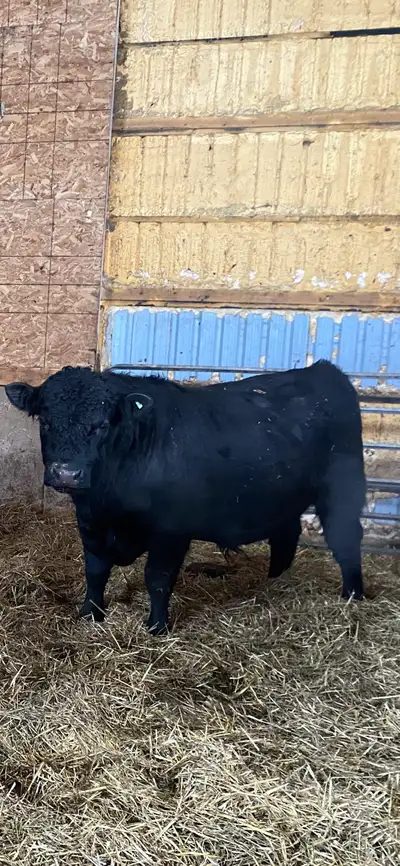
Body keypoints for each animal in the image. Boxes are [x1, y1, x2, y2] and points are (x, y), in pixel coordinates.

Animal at [5, 360, 366, 635]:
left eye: (102, 425)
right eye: (46, 421)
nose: (67, 473)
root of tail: (321, 369)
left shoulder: (171, 531)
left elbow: (158, 578)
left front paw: (157, 626)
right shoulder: (90, 522)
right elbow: (95, 571)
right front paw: (90, 613)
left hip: (342, 489)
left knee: (346, 538)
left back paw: (353, 595)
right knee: (287, 535)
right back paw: (274, 580)